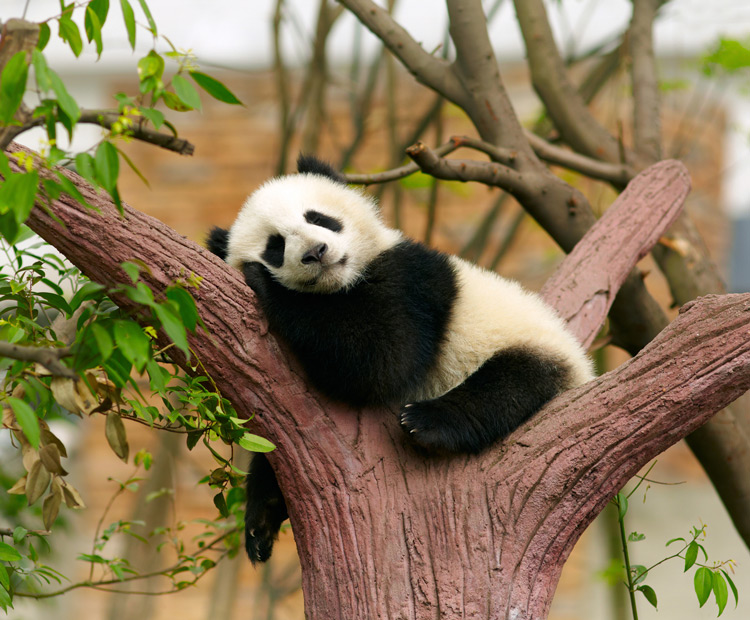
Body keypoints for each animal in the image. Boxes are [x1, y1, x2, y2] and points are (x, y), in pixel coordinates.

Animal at [207, 155, 594, 563]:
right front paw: (261, 518)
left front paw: (265, 283)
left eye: (318, 218)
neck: (341, 284)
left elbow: (383, 359)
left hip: (531, 345)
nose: (316, 252)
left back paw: (427, 422)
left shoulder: (410, 280)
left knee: (509, 385)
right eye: (275, 246)